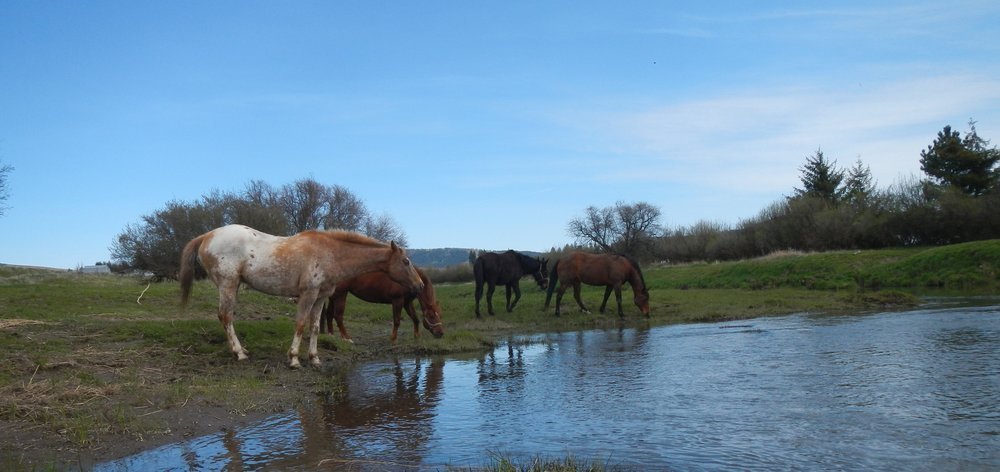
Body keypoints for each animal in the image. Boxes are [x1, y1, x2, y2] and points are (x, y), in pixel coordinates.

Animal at [180, 225, 422, 368]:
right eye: (406, 261)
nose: (419, 285)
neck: (330, 253)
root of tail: (207, 236)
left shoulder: (320, 297)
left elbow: (314, 326)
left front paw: (314, 358)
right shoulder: (308, 295)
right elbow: (300, 324)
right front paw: (294, 358)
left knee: (226, 317)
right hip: (228, 285)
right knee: (226, 316)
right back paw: (239, 353)